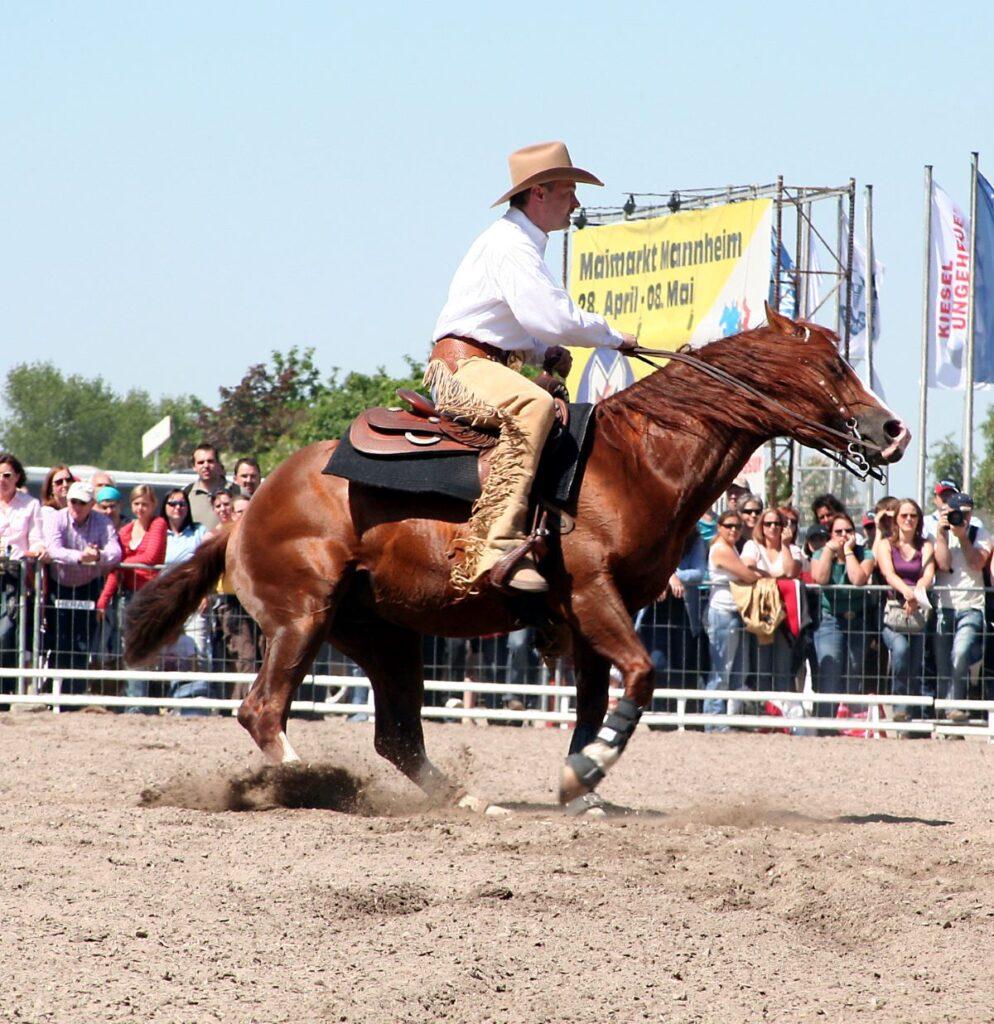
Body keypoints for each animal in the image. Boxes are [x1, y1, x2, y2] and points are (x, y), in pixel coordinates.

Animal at [126, 303, 909, 806]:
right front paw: (584, 774)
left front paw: (582, 783)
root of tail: (246, 512)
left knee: (397, 737)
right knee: (263, 710)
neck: (636, 461)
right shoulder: (593, 593)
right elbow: (644, 675)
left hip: (383, 634)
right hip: (302, 616)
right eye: (828, 365)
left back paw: (468, 801)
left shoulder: (599, 611)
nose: (892, 430)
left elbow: (596, 700)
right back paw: (307, 781)